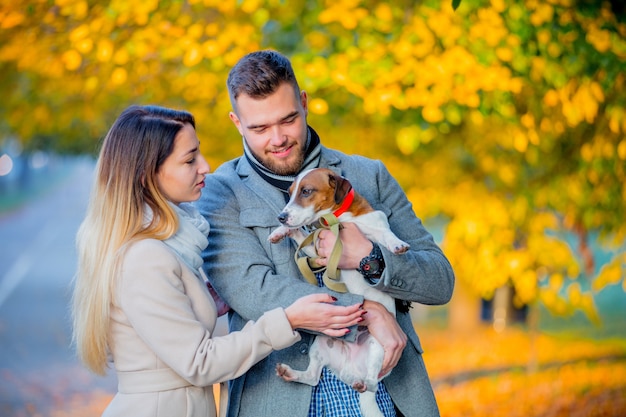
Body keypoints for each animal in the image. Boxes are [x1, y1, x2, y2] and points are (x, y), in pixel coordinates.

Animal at [266, 167, 410, 416]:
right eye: (290, 192)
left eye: (306, 191)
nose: (281, 217)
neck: (336, 220)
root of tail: (351, 370)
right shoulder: (317, 250)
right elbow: (299, 234)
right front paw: (280, 231)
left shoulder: (377, 225)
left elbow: (385, 236)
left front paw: (397, 244)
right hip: (321, 344)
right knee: (313, 377)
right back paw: (290, 373)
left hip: (378, 347)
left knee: (372, 381)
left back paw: (364, 383)